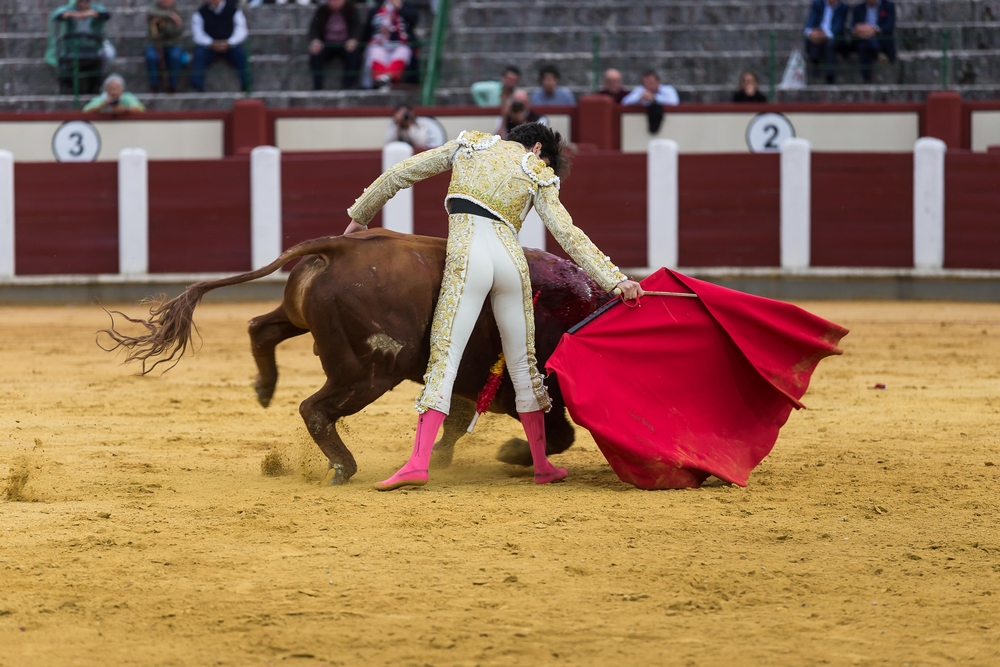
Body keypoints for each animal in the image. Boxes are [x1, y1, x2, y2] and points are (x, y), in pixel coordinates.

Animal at [105, 230, 612, 486]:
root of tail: (341, 245)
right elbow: (558, 434)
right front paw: (510, 453)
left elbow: (454, 417)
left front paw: (446, 456)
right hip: (371, 371)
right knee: (313, 407)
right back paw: (342, 468)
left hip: (307, 322)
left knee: (260, 328)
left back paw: (265, 387)